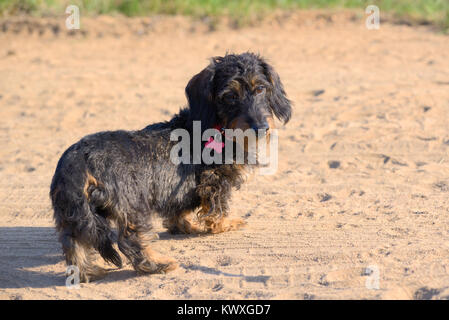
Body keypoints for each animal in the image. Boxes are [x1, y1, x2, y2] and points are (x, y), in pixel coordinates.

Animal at [49, 52, 290, 282]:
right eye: (230, 96)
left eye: (260, 88)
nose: (261, 127)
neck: (214, 126)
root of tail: (78, 162)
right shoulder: (215, 182)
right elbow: (217, 210)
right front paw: (225, 224)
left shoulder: (180, 190)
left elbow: (179, 210)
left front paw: (185, 226)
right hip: (132, 205)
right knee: (130, 240)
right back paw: (159, 264)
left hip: (71, 214)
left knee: (73, 243)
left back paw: (87, 272)